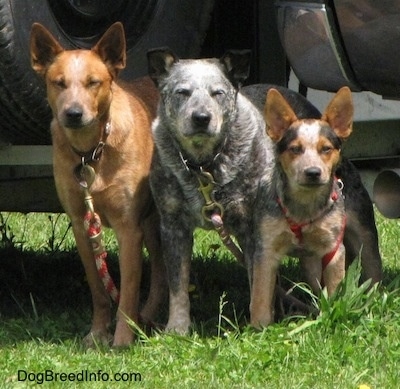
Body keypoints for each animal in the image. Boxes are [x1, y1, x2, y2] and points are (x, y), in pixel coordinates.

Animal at [30, 22, 166, 348]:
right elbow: (99, 290)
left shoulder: (128, 229)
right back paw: (148, 317)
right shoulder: (82, 226)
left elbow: (127, 294)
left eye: (94, 83)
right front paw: (97, 333)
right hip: (150, 222)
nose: (73, 113)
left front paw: (122, 339)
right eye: (58, 83)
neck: (91, 151)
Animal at [148, 47, 278, 334]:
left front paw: (257, 323)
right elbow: (178, 285)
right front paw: (177, 328)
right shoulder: (172, 226)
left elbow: (257, 279)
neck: (202, 166)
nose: (201, 118)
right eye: (182, 92)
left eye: (217, 92)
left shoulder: (250, 227)